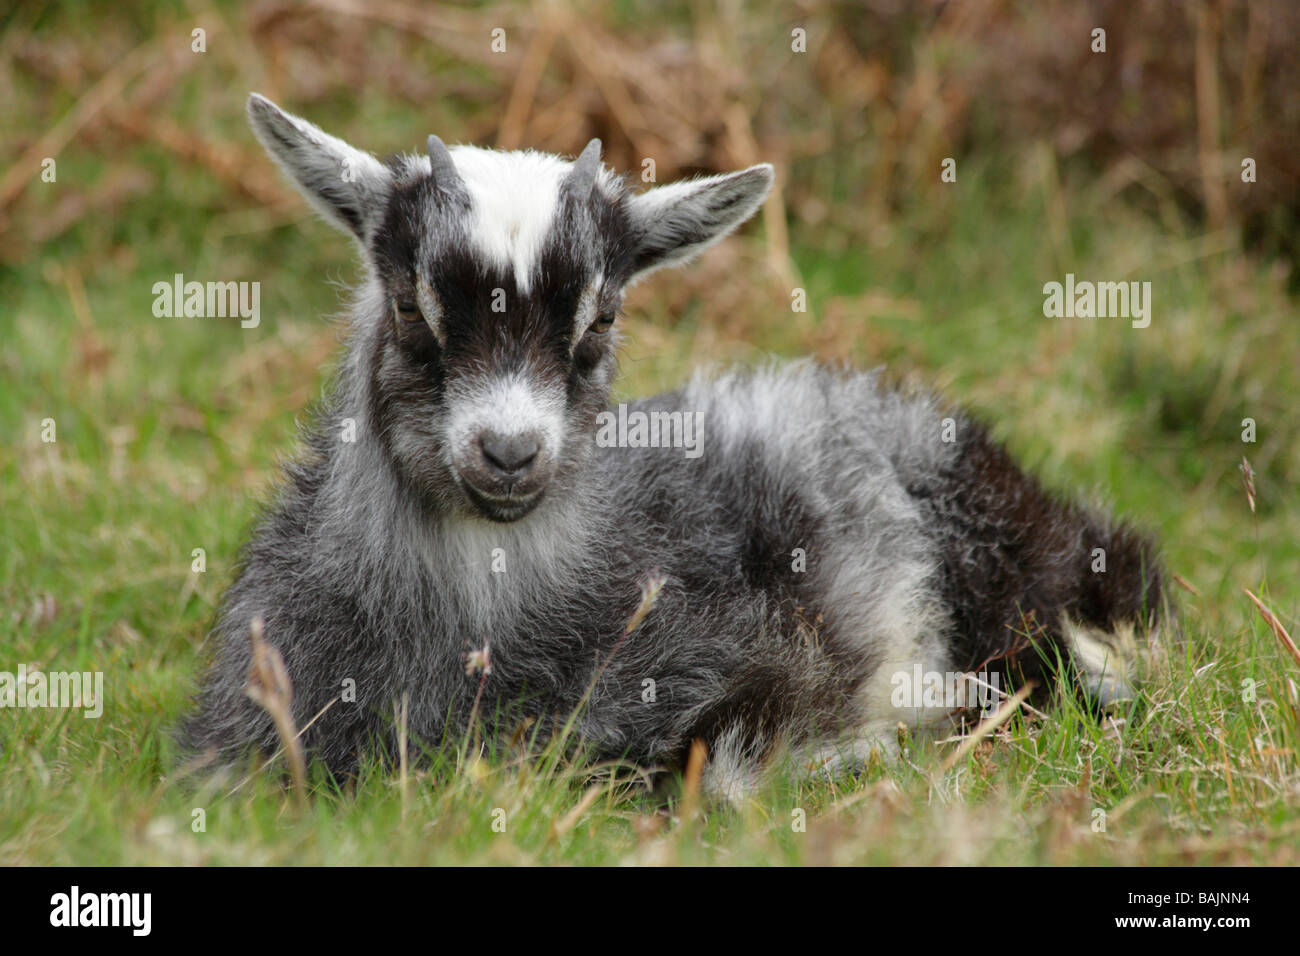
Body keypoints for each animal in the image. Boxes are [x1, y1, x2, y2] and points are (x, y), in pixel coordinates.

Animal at [178, 95, 1164, 801]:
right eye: (412, 305)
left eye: (601, 318)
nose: (509, 452)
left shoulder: (747, 663)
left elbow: (708, 769)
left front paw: (857, 751)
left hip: (1004, 556)